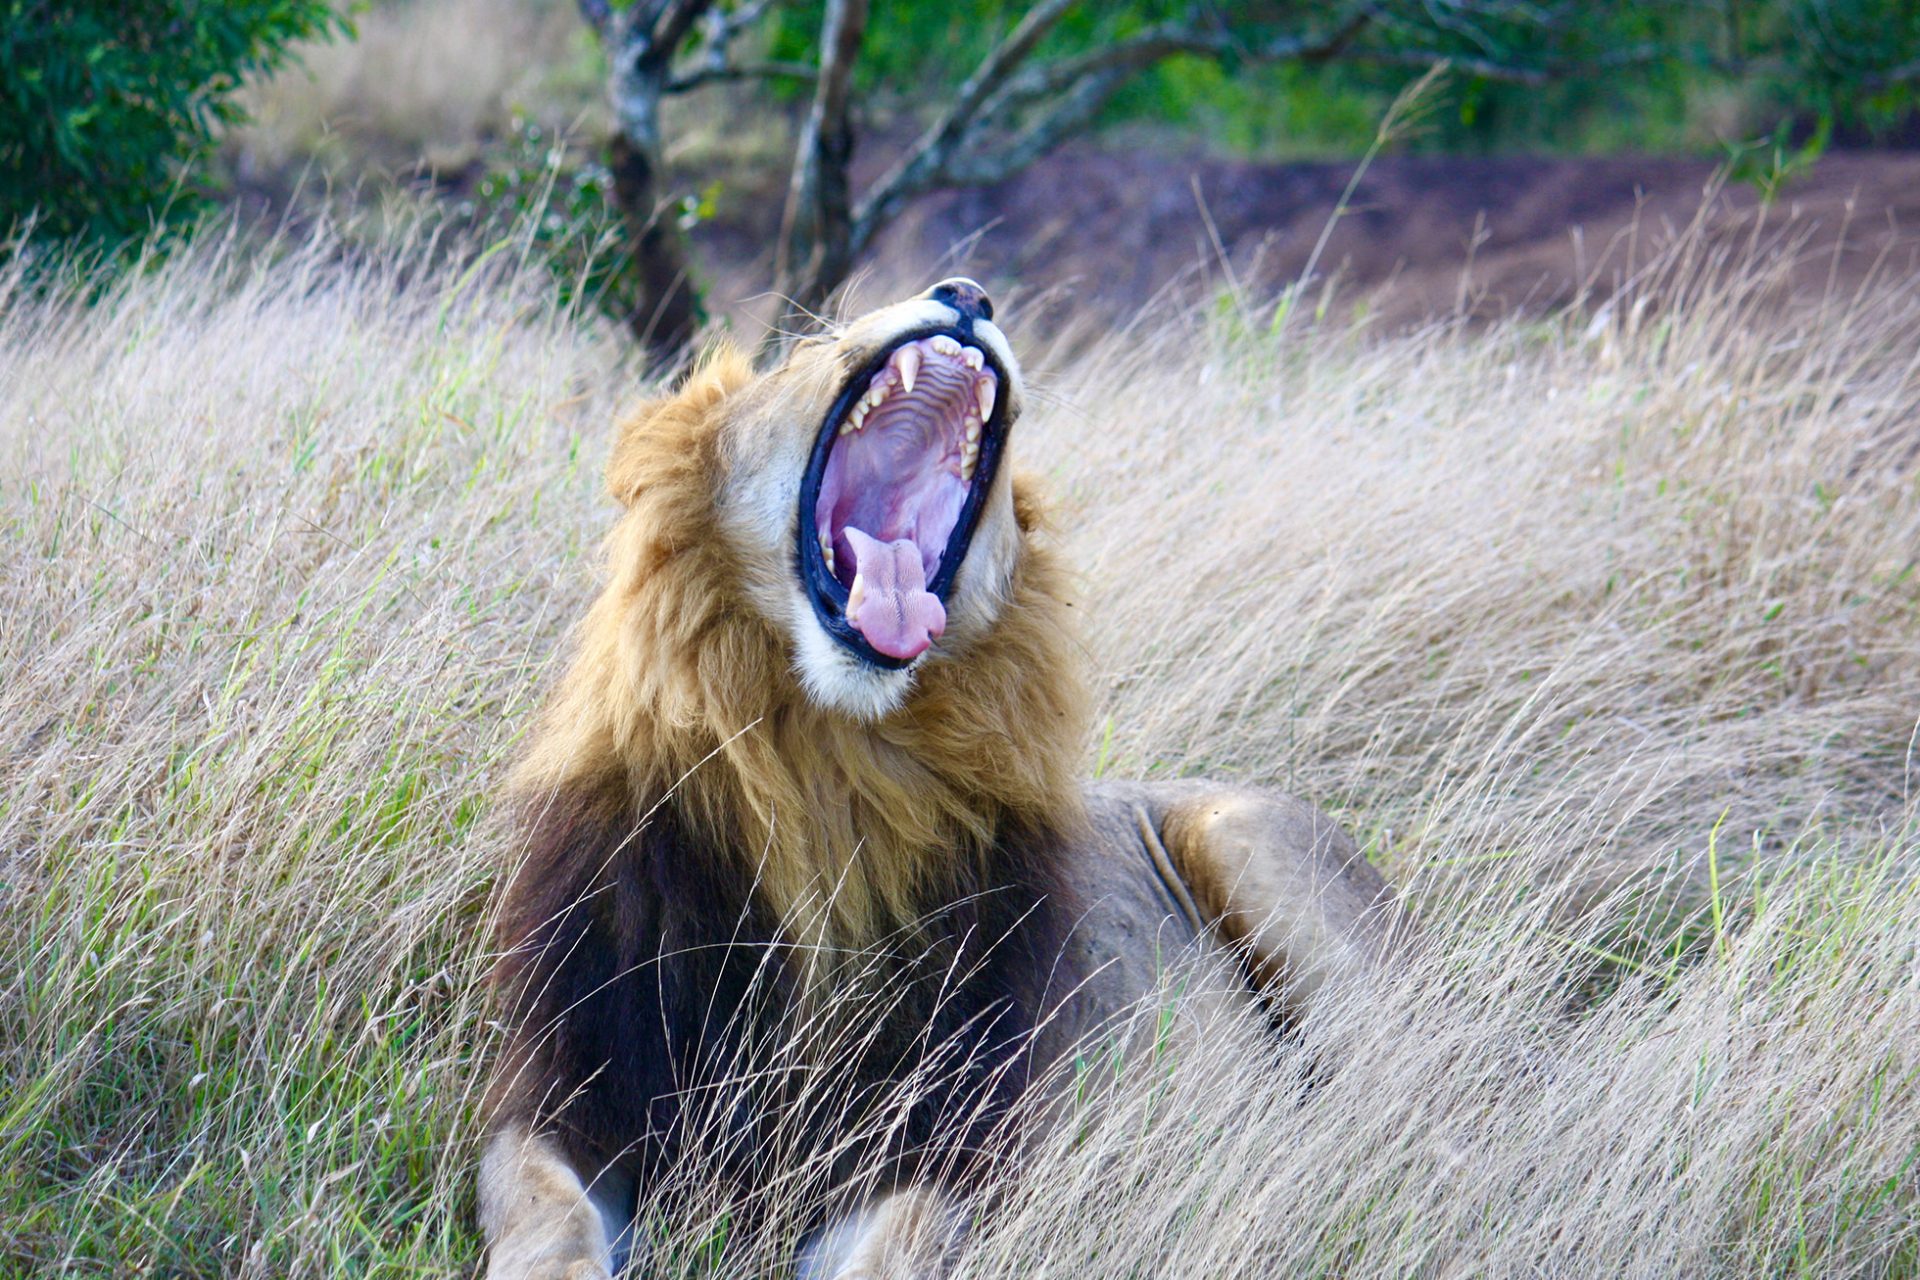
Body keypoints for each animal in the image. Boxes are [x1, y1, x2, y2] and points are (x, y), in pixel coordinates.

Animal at [478, 278, 1406, 1280]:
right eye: (808, 347)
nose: (966, 294)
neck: (827, 773)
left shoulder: (943, 1141)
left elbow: (896, 1246)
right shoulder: (571, 1099)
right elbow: (545, 1213)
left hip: (1244, 842)